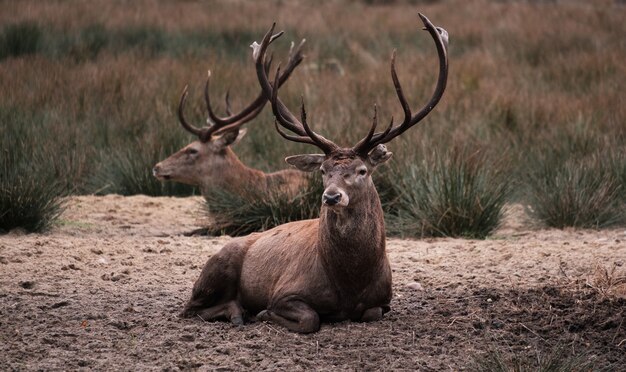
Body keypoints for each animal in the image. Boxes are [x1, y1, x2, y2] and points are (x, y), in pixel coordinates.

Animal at [180, 13, 448, 332]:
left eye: (362, 170)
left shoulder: (384, 300)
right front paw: (264, 313)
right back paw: (238, 312)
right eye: (323, 169)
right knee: (190, 308)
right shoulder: (286, 291)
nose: (331, 197)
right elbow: (310, 318)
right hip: (216, 266)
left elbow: (371, 313)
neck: (350, 283)